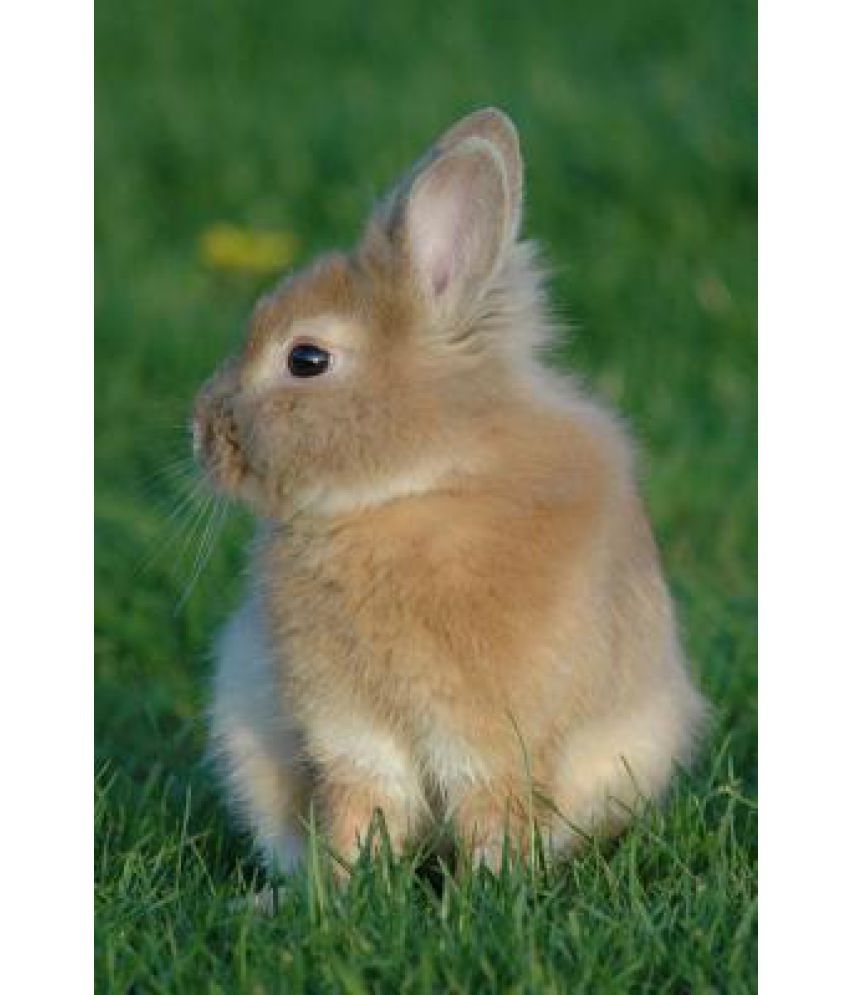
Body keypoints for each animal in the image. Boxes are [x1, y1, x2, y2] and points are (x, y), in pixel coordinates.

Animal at [193, 107, 707, 875]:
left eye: (306, 359)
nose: (200, 431)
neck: (417, 487)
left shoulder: (492, 737)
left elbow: (489, 811)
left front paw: (491, 888)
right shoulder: (351, 733)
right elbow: (360, 807)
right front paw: (340, 887)